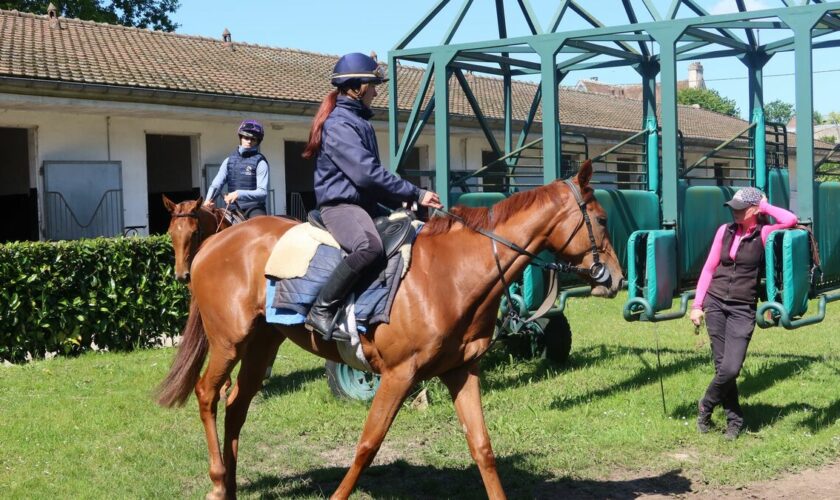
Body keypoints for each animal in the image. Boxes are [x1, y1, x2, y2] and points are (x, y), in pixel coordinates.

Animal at [156, 161, 624, 500]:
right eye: (601, 219)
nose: (617, 279)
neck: (451, 273)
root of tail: (215, 244)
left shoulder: (461, 371)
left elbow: (483, 448)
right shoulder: (398, 375)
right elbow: (368, 444)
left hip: (261, 344)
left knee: (236, 404)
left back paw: (232, 484)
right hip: (228, 341)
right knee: (207, 394)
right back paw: (219, 482)